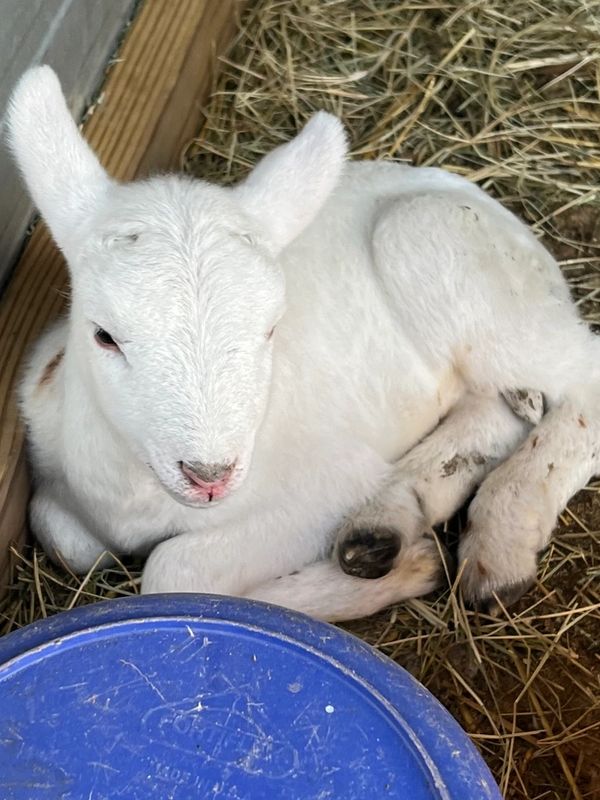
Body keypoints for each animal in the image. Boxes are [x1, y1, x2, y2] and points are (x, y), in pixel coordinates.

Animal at [6, 66, 599, 622]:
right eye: (104, 336)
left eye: (271, 327)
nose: (209, 477)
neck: (134, 495)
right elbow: (65, 537)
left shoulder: (325, 485)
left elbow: (174, 574)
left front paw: (397, 575)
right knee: (497, 407)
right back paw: (384, 525)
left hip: (438, 250)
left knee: (582, 381)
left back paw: (499, 543)